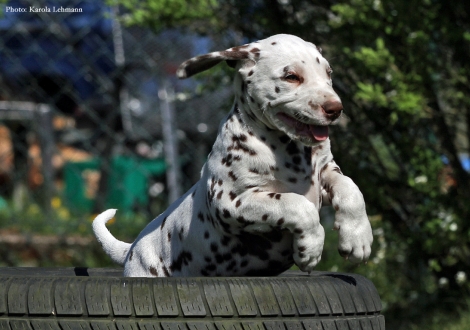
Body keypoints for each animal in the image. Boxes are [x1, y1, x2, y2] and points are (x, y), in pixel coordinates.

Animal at [92, 34, 370, 276]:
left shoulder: (325, 171)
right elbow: (297, 204)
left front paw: (358, 236)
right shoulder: (231, 202)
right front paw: (310, 248)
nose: (336, 108)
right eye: (291, 76)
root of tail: (131, 248)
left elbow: (351, 188)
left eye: (328, 74)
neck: (288, 150)